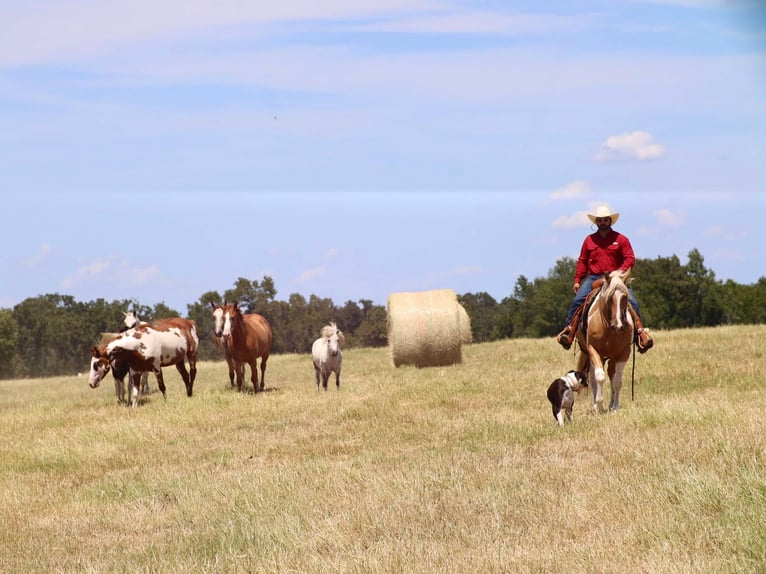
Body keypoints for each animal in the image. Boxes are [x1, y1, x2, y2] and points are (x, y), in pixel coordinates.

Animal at [576, 272, 636, 416]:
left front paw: (615, 406)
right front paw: (598, 404)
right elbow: (599, 377)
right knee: (593, 377)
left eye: (625, 297)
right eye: (609, 299)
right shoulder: (593, 350)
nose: (618, 326)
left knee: (611, 374)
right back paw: (595, 405)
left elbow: (617, 381)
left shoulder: (624, 353)